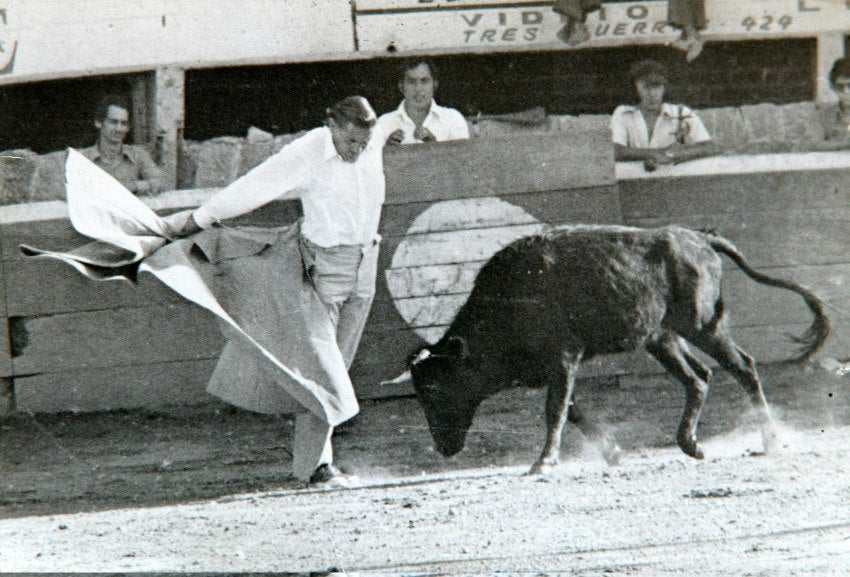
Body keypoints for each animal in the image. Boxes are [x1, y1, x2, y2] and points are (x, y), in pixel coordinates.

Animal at [390, 224, 828, 472]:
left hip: (702, 326)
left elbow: (554, 411)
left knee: (744, 368)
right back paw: (691, 444)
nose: (444, 448)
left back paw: (770, 440)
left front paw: (544, 462)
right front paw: (613, 452)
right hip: (661, 337)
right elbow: (573, 411)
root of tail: (699, 239)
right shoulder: (557, 368)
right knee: (699, 378)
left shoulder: (563, 358)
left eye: (435, 389)